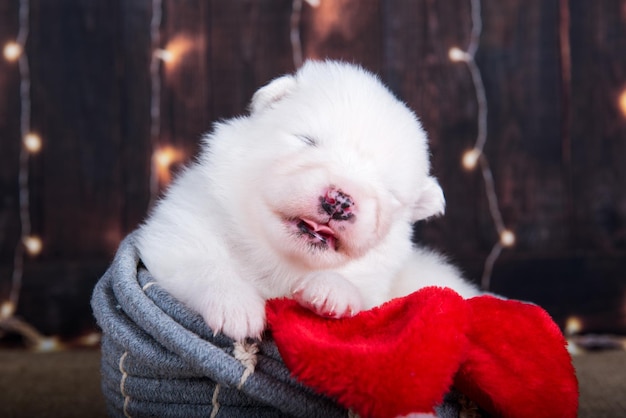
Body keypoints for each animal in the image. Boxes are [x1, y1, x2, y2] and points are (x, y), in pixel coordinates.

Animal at [136, 60, 478, 342]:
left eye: (389, 190)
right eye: (307, 141)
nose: (340, 201)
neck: (277, 262)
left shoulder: (379, 287)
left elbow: (360, 292)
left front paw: (331, 291)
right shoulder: (175, 234)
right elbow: (204, 264)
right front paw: (236, 306)